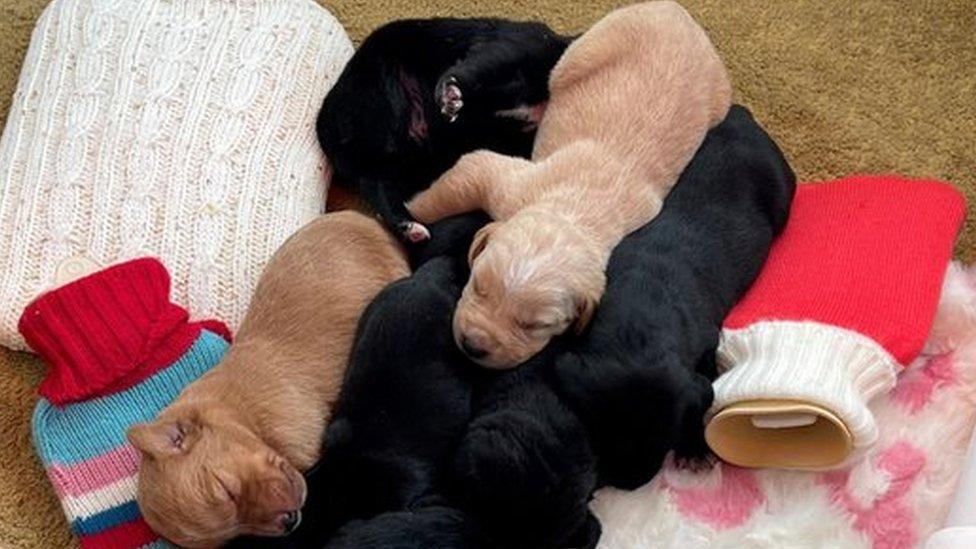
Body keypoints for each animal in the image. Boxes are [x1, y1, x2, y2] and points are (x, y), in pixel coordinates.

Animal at [318, 18, 572, 241]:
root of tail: (325, 124)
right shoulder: (524, 45)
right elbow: (483, 63)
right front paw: (450, 96)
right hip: (376, 91)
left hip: (412, 163)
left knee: (380, 183)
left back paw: (410, 227)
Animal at [404, 2, 732, 370]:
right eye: (478, 285)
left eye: (534, 326)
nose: (473, 345)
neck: (574, 213)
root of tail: (675, 9)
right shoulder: (506, 183)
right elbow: (446, 192)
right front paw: (412, 209)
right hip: (591, 45)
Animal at [552, 106, 796, 488]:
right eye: (601, 435)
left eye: (665, 440)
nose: (628, 483)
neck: (637, 328)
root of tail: (742, 116)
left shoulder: (706, 346)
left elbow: (705, 387)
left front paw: (696, 448)